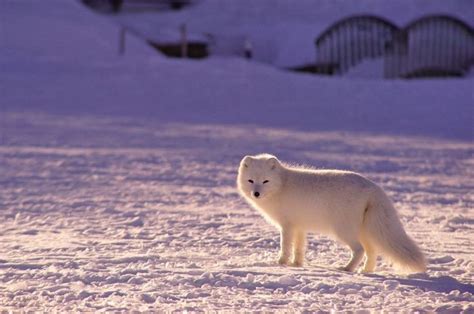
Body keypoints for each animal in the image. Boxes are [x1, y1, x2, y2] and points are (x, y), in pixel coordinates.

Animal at [237, 153, 426, 274]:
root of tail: (374, 187)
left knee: (359, 250)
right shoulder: (299, 227)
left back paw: (347, 268)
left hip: (343, 230)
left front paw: (280, 263)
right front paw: (297, 265)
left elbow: (285, 246)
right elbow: (299, 248)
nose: (256, 193)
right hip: (364, 231)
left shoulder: (287, 226)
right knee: (372, 252)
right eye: (251, 181)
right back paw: (366, 271)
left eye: (265, 181)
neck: (282, 185)